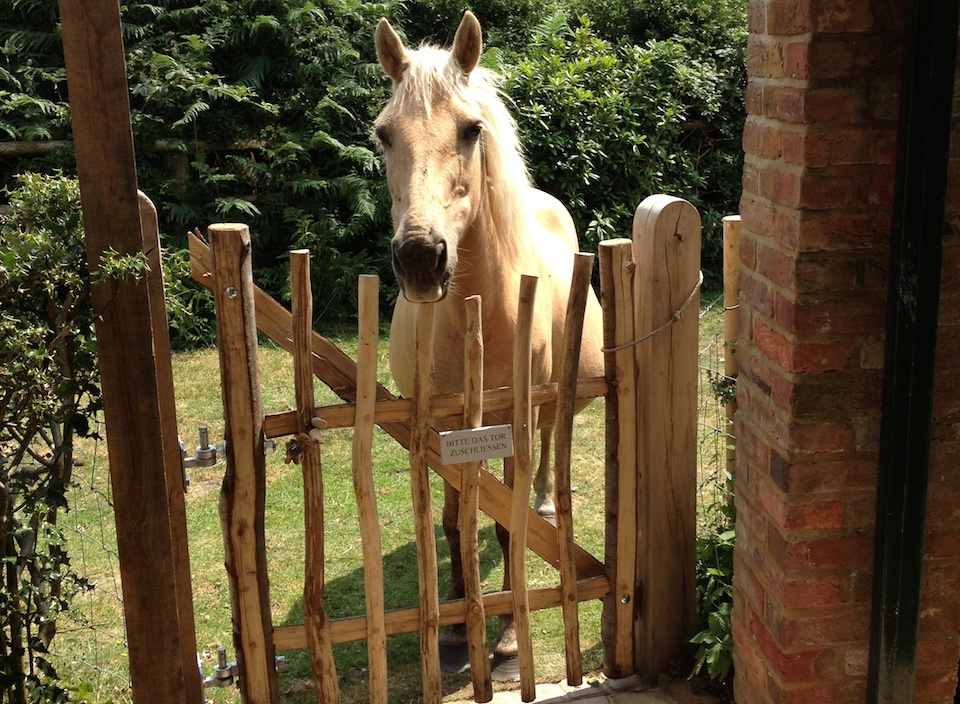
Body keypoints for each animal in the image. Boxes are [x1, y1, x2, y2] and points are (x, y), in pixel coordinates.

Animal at [374, 9, 604, 672]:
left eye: (471, 129)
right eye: (384, 135)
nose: (420, 258)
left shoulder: (512, 418)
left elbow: (504, 524)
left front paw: (503, 635)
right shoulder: (438, 429)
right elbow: (454, 519)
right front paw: (455, 621)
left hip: (545, 407)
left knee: (549, 446)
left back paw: (547, 501)